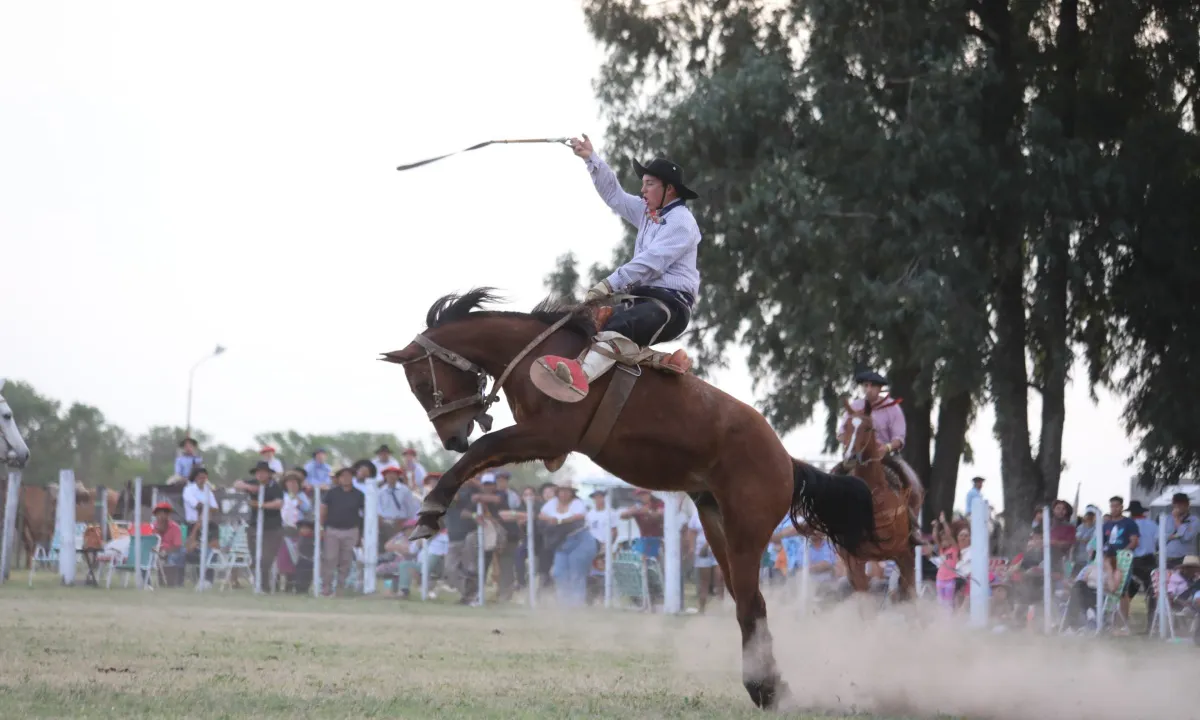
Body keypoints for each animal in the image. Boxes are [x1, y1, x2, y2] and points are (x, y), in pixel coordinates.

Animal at [381, 289, 878, 711]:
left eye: (422, 383)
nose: (452, 438)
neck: (536, 355)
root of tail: (786, 461)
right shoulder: (543, 443)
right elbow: (486, 453)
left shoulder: (549, 434)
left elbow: (484, 450)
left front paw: (430, 510)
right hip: (716, 523)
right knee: (747, 605)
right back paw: (770, 688)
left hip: (746, 530)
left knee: (751, 605)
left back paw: (767, 691)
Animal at [833, 397, 924, 603]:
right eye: (847, 426)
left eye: (868, 428)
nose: (850, 457)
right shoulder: (854, 561)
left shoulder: (900, 551)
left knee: (909, 589)